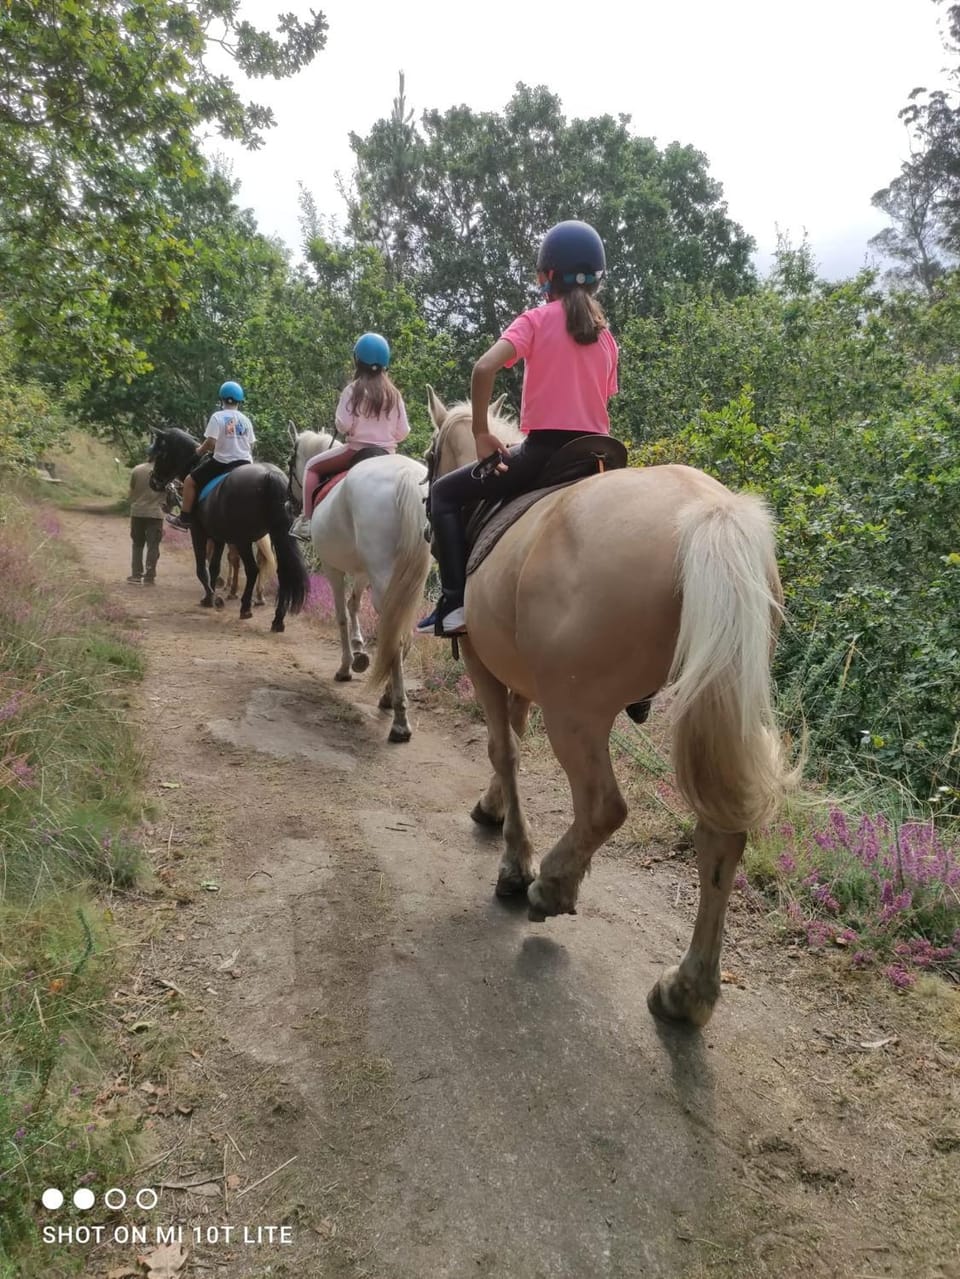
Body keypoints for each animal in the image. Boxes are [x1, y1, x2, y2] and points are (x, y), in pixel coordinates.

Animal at [149, 427, 308, 633]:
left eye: (160, 454)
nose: (153, 482)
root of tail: (270, 475)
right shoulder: (218, 537)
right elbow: (214, 567)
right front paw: (209, 597)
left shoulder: (199, 532)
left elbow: (202, 568)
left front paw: (212, 597)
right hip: (277, 535)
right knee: (281, 572)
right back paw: (277, 620)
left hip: (243, 539)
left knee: (252, 569)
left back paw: (246, 607)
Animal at [287, 425, 431, 742]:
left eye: (291, 463)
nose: (290, 502)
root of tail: (407, 478)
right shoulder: (363, 572)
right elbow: (354, 604)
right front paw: (359, 648)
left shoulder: (333, 569)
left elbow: (341, 614)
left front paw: (345, 665)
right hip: (407, 579)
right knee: (402, 632)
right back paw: (389, 697)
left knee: (395, 634)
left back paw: (399, 719)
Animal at [426, 390, 795, 1028]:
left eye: (427, 459)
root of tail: (708, 511)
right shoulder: (520, 672)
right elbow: (511, 743)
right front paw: (493, 809)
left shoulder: (481, 659)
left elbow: (504, 748)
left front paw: (514, 861)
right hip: (713, 700)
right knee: (721, 839)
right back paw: (686, 991)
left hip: (577, 710)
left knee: (603, 807)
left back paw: (552, 885)